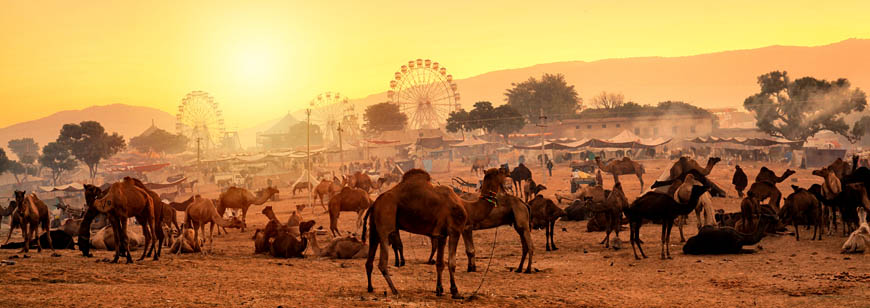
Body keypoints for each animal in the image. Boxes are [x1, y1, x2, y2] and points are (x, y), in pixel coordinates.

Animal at [362, 168, 470, 298]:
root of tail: (374, 204)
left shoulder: (442, 234)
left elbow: (440, 263)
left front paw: (439, 289)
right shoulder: (455, 230)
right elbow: (451, 263)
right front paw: (455, 291)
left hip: (374, 229)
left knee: (369, 261)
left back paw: (370, 287)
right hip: (385, 224)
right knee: (382, 263)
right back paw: (395, 290)